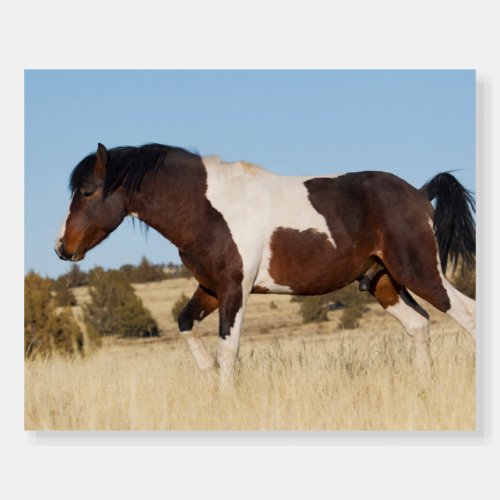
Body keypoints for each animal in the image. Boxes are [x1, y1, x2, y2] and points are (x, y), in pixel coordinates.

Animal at [54, 143, 476, 388]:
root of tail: (419, 193)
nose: (61, 247)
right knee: (419, 326)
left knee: (468, 315)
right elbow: (186, 323)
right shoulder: (210, 289)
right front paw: (208, 376)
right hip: (383, 283)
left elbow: (228, 349)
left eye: (88, 191)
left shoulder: (234, 290)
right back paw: (424, 387)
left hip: (421, 273)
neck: (208, 209)